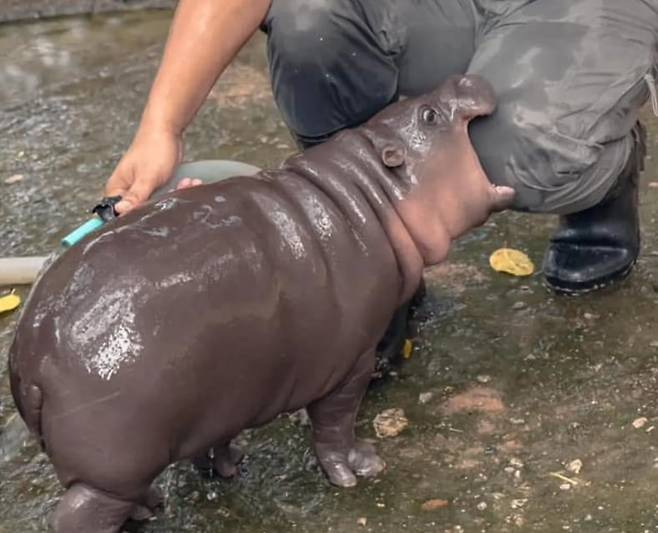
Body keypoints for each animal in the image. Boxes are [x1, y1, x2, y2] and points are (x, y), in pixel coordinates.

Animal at [9, 75, 512, 532]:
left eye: (412, 104)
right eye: (428, 116)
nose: (466, 76)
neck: (372, 193)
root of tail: (27, 357)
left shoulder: (223, 395)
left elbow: (220, 436)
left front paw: (227, 464)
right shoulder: (349, 363)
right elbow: (335, 424)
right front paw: (360, 468)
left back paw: (155, 505)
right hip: (109, 470)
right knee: (76, 514)